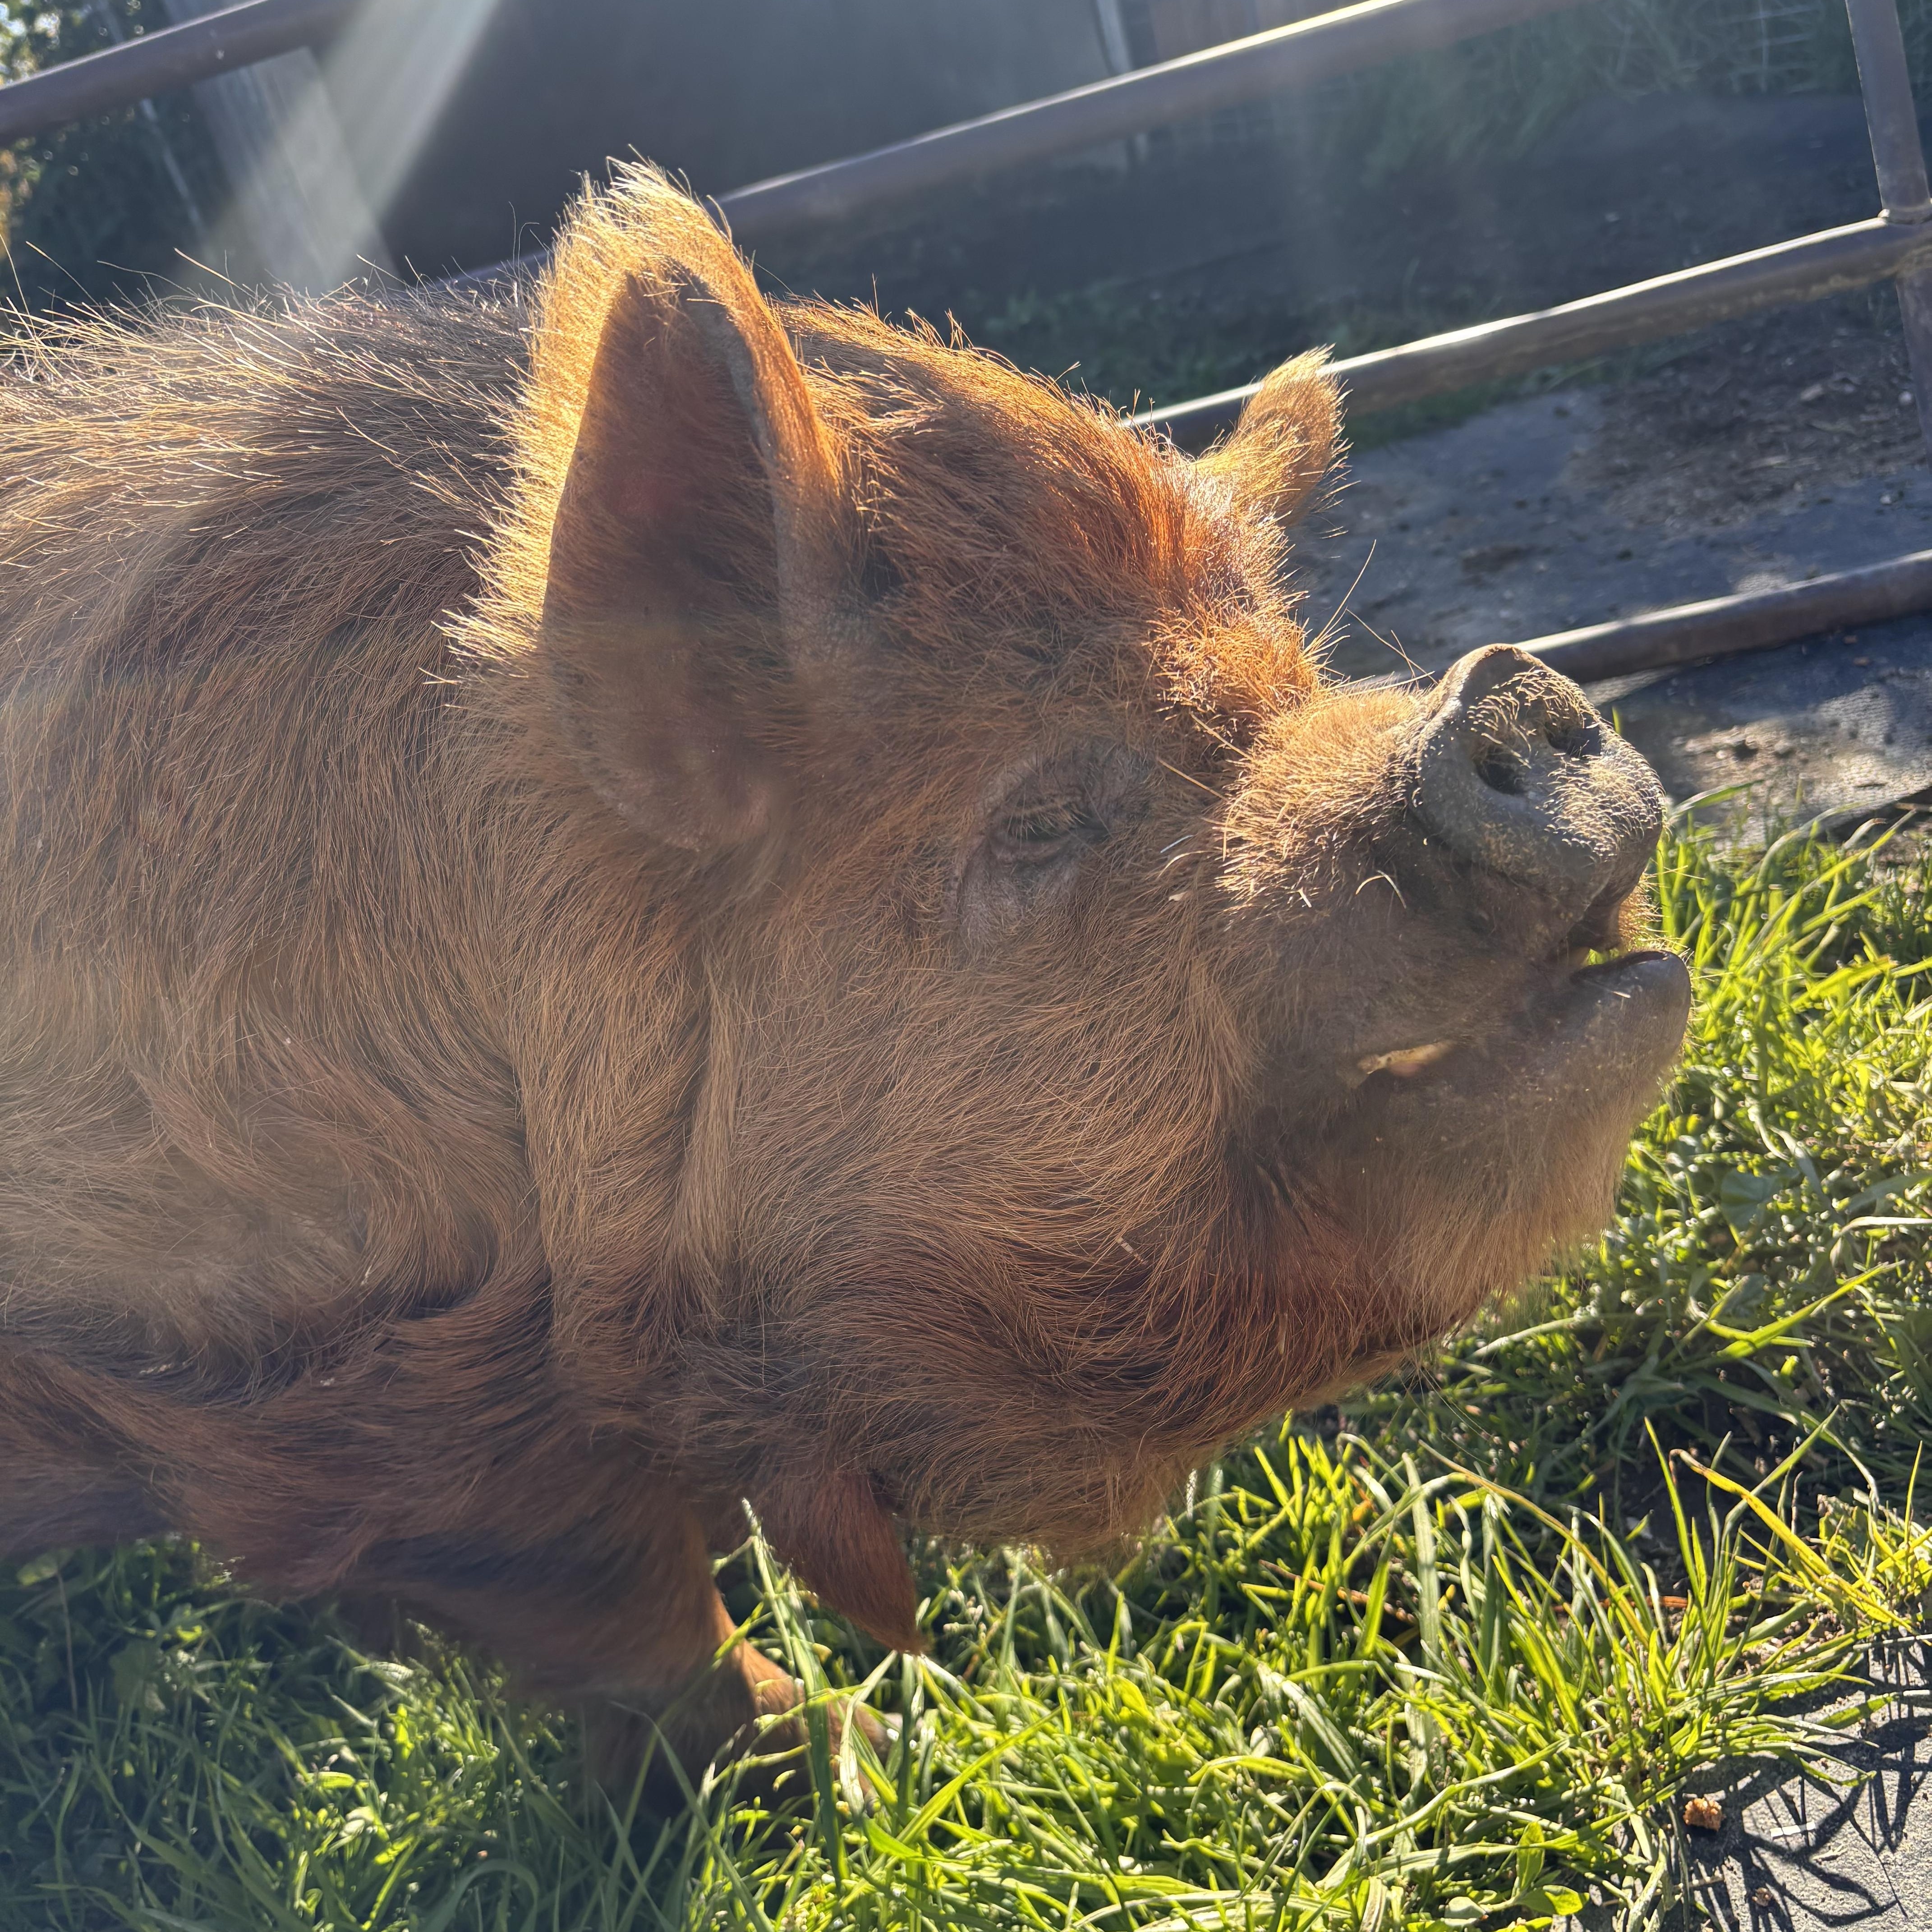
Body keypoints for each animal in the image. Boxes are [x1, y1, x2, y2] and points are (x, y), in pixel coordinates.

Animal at [0, 167, 1688, 1777]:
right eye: (1039, 821)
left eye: (1290, 682)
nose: (1509, 693)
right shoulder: (363, 1409)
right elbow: (635, 1611)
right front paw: (875, 1756)